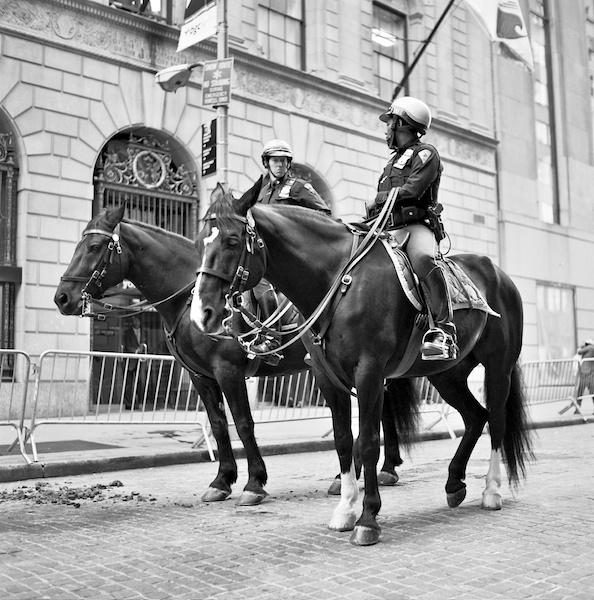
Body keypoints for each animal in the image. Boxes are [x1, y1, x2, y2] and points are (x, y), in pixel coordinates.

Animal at [190, 180, 532, 548]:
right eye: (198, 241)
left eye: (232, 241)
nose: (202, 314)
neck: (337, 280)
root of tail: (498, 273)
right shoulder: (326, 377)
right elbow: (342, 440)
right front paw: (345, 509)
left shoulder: (369, 372)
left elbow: (367, 441)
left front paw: (368, 518)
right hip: (446, 375)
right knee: (475, 417)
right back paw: (454, 483)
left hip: (498, 368)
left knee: (496, 420)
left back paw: (491, 490)